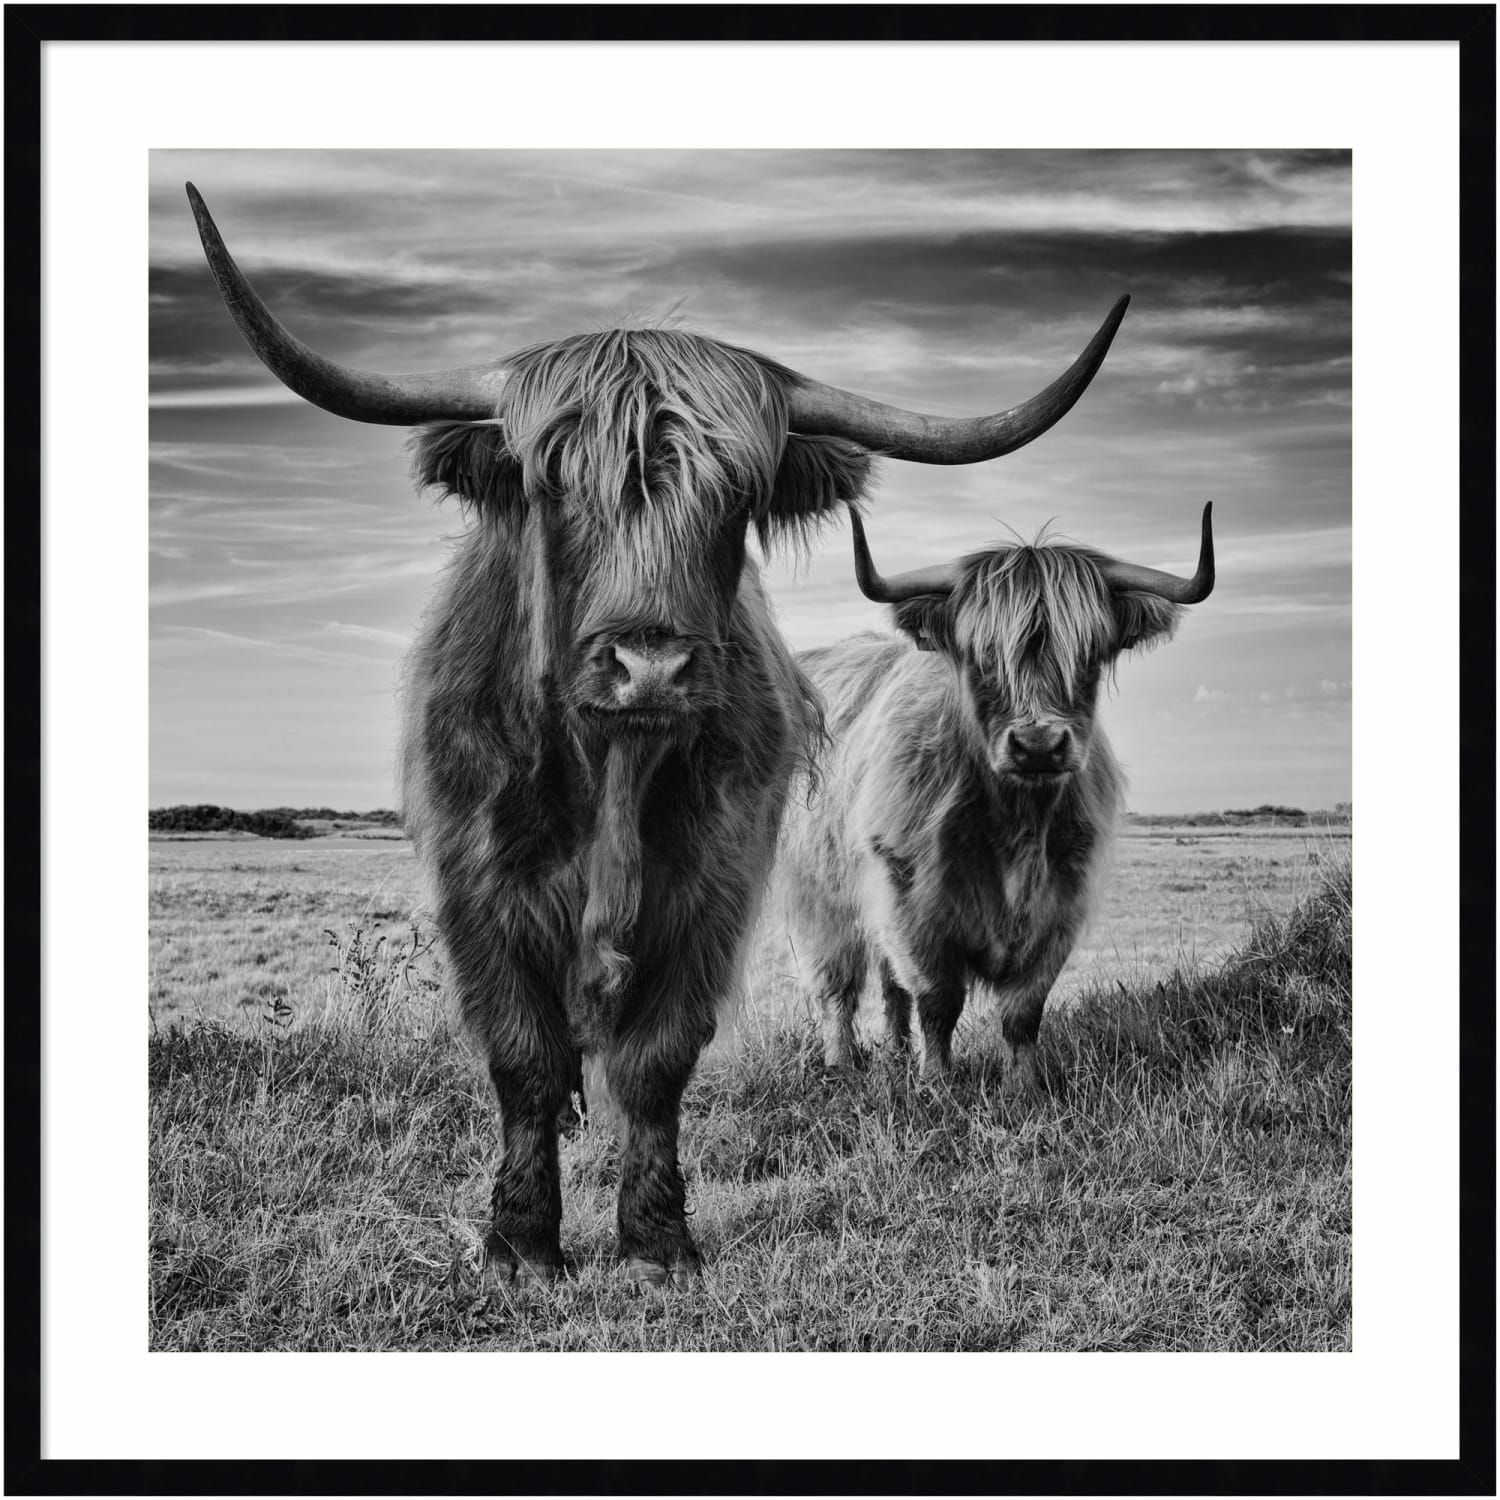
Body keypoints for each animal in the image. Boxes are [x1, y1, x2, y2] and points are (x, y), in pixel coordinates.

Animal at [185, 182, 1130, 1286]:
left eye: (737, 496)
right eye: (555, 484)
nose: (649, 666)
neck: (611, 774)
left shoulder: (713, 884)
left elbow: (659, 1056)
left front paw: (656, 1240)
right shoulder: (478, 887)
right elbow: (523, 1055)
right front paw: (520, 1244)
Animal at [773, 505, 1214, 1095]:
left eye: (1090, 656)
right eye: (982, 657)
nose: (1038, 745)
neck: (1015, 824)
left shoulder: (1060, 904)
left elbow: (1022, 1010)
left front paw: (1023, 1086)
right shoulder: (912, 902)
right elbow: (938, 999)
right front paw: (937, 1083)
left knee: (889, 987)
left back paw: (895, 1054)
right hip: (820, 894)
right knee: (837, 984)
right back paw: (842, 1062)